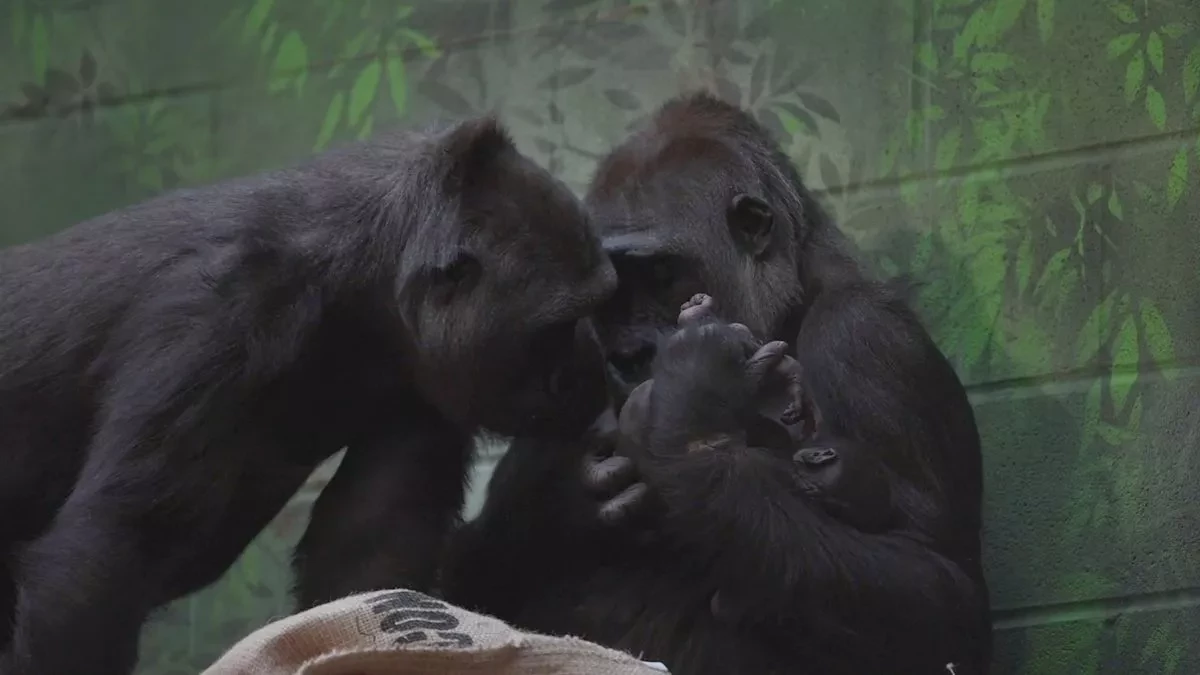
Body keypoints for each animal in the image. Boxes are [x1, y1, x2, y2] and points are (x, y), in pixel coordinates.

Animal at [0, 117, 614, 672]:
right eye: (558, 327)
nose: (590, 374)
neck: (358, 262)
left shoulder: (418, 373)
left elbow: (368, 559)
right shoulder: (221, 312)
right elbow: (113, 547)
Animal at [441, 93, 993, 672]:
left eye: (662, 275)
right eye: (612, 294)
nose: (629, 355)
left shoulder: (866, 337)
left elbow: (938, 590)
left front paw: (685, 414)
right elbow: (455, 577)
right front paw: (552, 503)